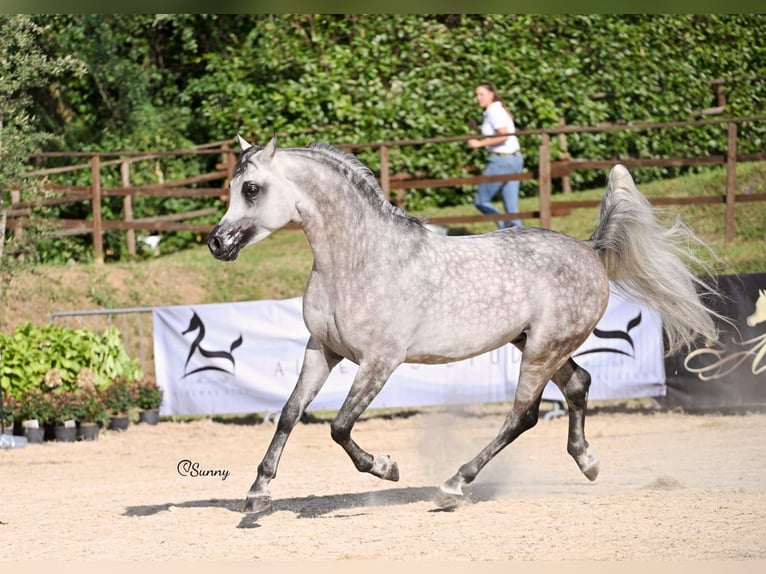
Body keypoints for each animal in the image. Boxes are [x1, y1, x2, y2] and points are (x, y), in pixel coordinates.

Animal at [206, 137, 720, 516]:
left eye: (250, 189)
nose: (216, 243)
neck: (358, 260)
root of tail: (590, 249)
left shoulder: (380, 361)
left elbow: (339, 426)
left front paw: (387, 468)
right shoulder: (322, 350)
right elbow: (289, 413)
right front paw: (257, 494)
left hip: (543, 349)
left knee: (522, 415)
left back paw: (453, 486)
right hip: (538, 344)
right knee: (578, 384)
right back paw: (588, 462)